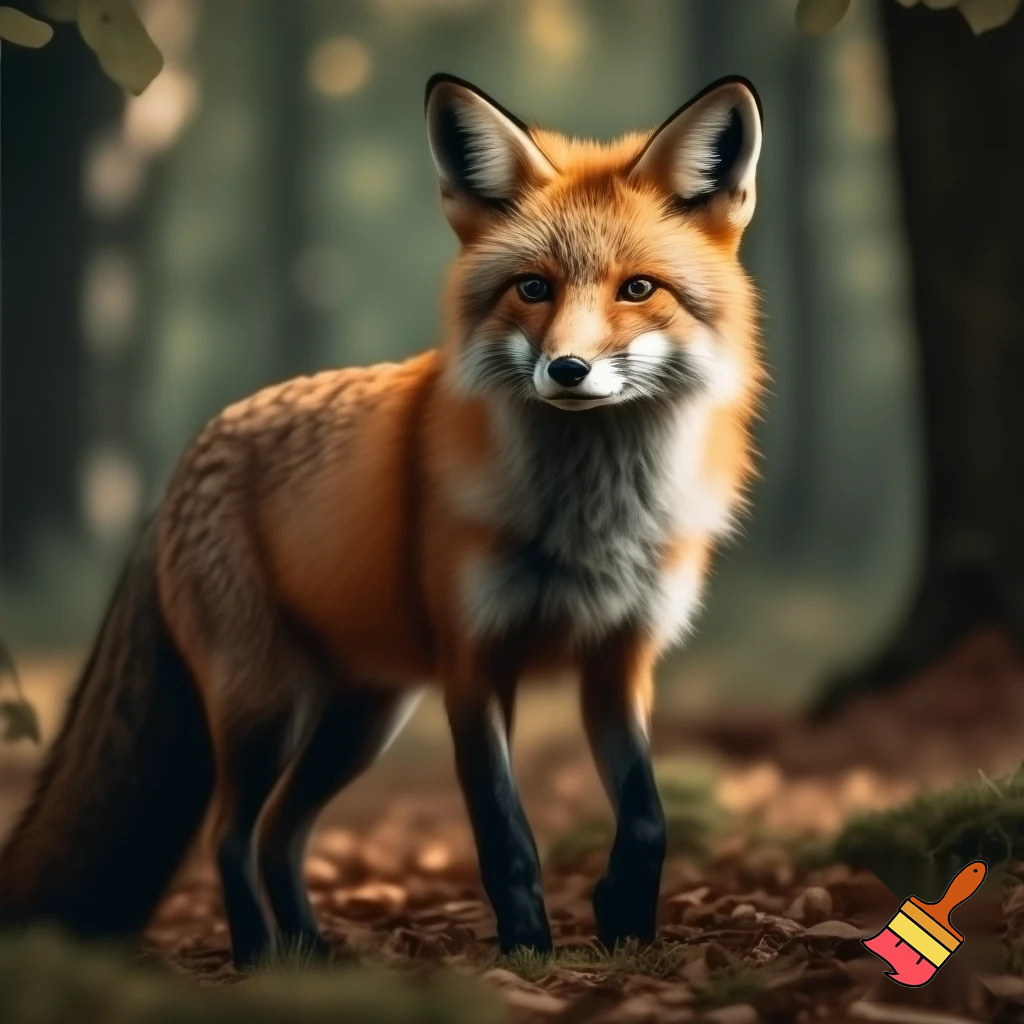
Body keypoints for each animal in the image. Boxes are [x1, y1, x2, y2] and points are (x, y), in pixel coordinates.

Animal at [0, 73, 764, 967]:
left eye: (638, 288)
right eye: (532, 287)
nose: (567, 369)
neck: (591, 522)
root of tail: (187, 456)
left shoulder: (619, 661)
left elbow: (647, 818)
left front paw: (625, 926)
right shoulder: (474, 664)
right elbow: (506, 836)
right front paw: (526, 951)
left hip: (361, 719)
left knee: (279, 834)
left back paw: (313, 954)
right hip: (268, 707)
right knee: (231, 835)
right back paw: (263, 958)